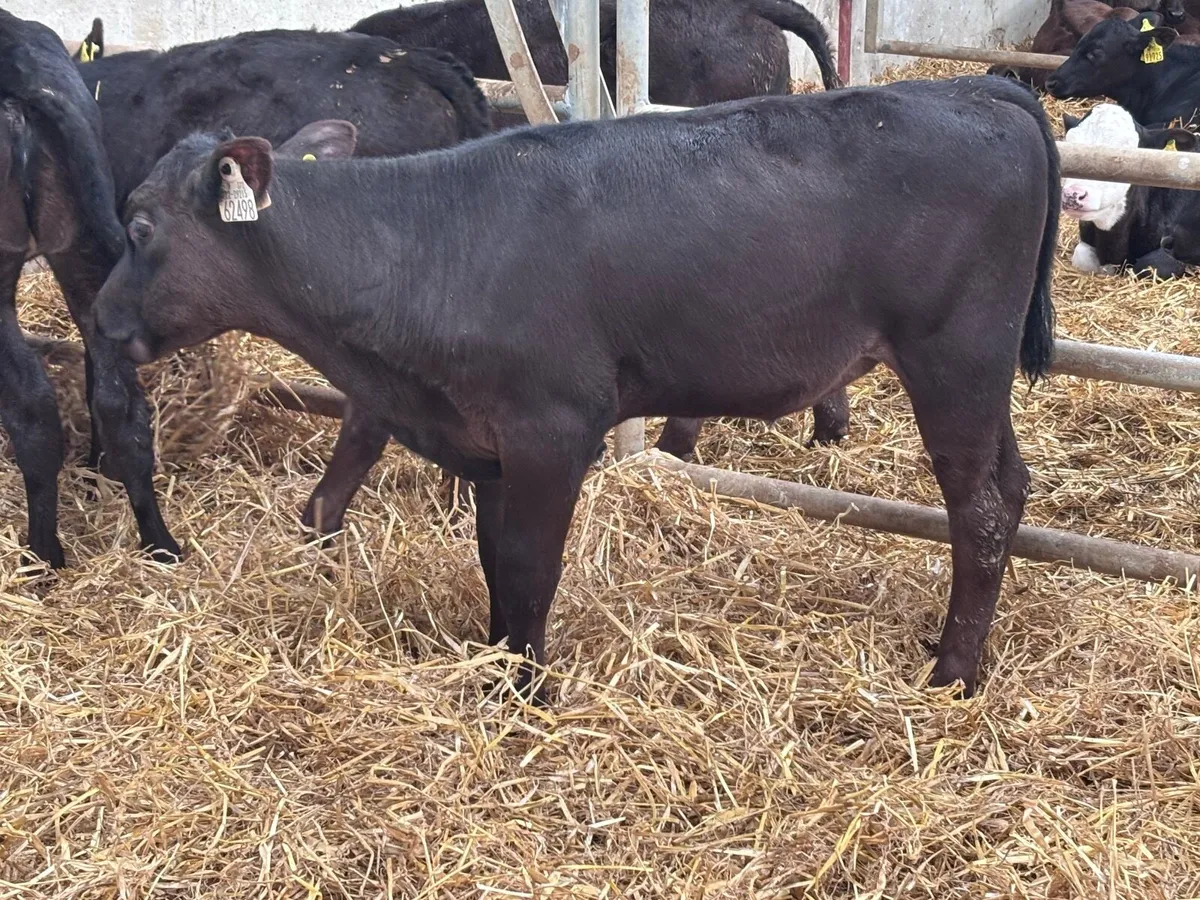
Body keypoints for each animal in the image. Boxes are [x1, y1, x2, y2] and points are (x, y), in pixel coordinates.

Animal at [93, 75, 1059, 703]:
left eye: (138, 225)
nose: (100, 320)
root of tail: (976, 90)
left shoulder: (551, 429)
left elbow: (532, 567)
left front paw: (528, 693)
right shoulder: (487, 442)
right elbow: (495, 562)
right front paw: (495, 667)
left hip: (955, 357)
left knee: (976, 510)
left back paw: (952, 676)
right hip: (974, 371)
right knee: (1009, 489)